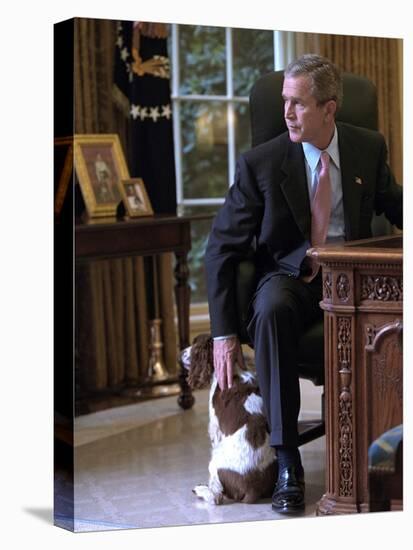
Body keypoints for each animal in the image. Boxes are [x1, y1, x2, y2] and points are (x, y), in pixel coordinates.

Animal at [180, 334, 276, 506]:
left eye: (194, 345)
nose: (180, 353)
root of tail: (253, 489)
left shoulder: (215, 426)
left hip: (215, 462)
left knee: (216, 496)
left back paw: (201, 490)